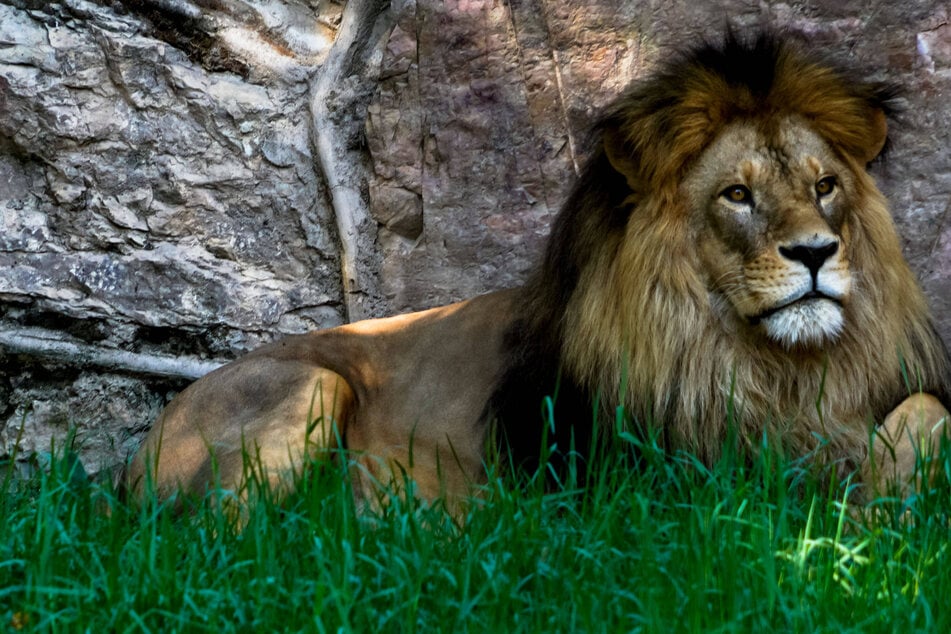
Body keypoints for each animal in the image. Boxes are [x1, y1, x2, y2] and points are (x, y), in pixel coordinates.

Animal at [128, 33, 951, 508]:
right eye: (737, 195)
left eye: (824, 186)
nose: (815, 251)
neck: (766, 364)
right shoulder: (662, 482)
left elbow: (923, 412)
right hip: (309, 387)